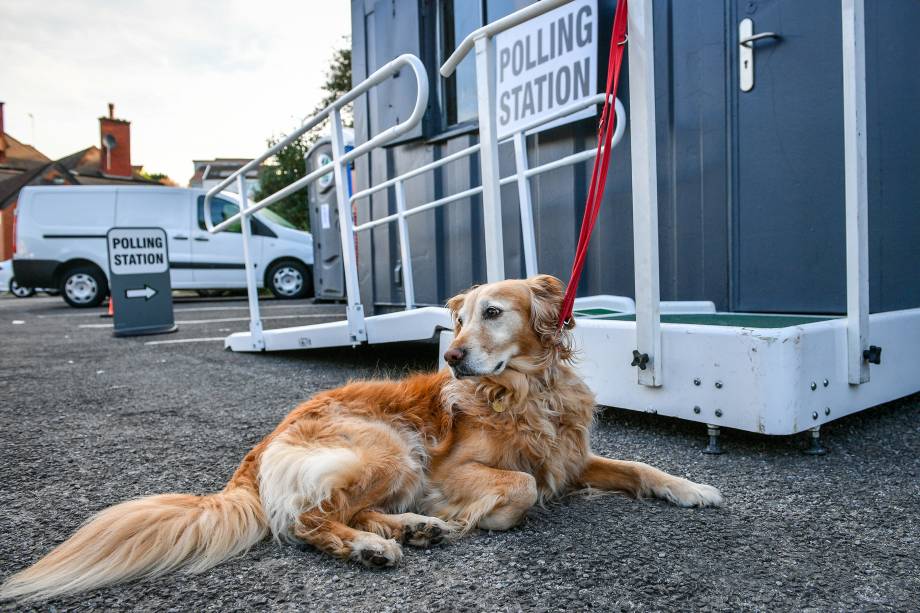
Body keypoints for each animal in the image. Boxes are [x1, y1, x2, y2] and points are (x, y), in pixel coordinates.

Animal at [1, 274, 720, 600]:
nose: (451, 356)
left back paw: (409, 529)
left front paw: (694, 488)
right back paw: (379, 545)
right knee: (309, 519)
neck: (524, 391)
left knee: (341, 509)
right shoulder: (449, 470)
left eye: (493, 312)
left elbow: (637, 466)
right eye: (459, 319)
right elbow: (516, 484)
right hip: (392, 446)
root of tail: (261, 446)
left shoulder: (571, 457)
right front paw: (477, 516)